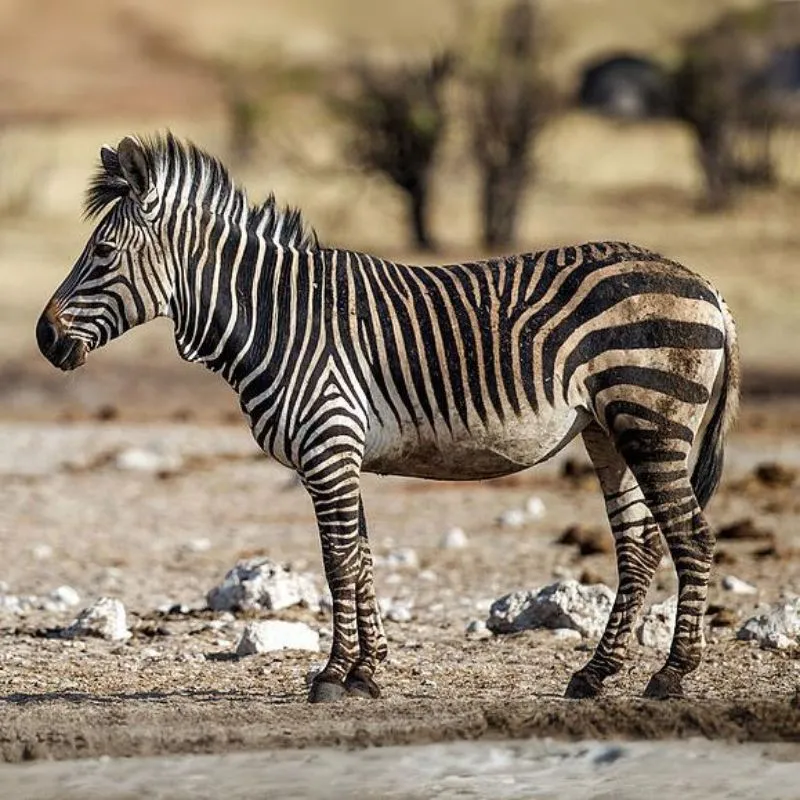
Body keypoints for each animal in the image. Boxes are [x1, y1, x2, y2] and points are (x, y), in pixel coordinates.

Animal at [37, 133, 740, 703]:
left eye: (103, 252)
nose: (45, 339)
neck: (278, 319)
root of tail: (706, 284)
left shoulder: (328, 448)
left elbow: (338, 562)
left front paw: (332, 675)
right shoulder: (340, 456)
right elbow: (363, 558)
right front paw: (366, 672)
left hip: (651, 420)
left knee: (691, 537)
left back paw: (671, 676)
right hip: (606, 430)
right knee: (638, 549)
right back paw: (595, 674)